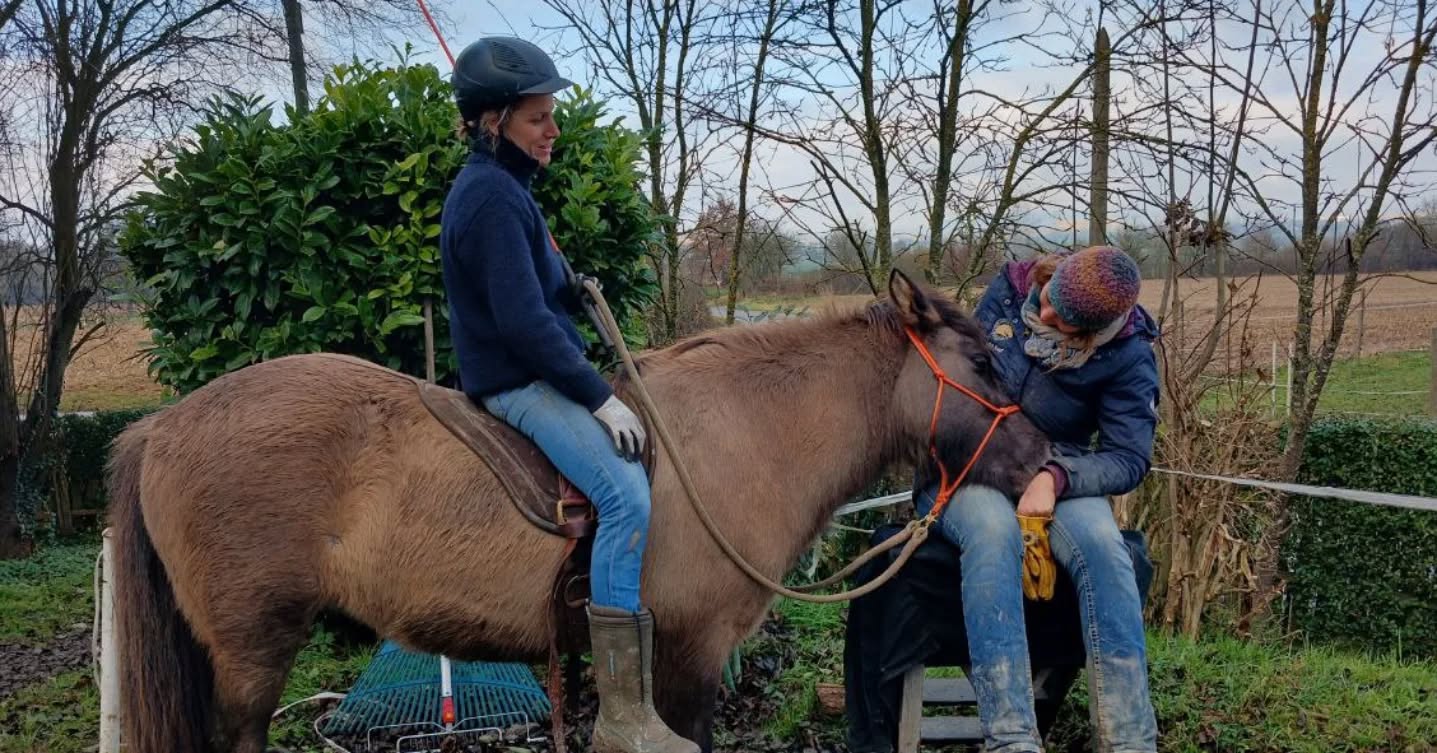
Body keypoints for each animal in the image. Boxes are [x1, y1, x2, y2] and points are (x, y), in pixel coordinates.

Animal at [109, 271, 1050, 753]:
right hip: (251, 650)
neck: (742, 432)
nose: (1045, 460)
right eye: (980, 360)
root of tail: (162, 425)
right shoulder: (690, 653)